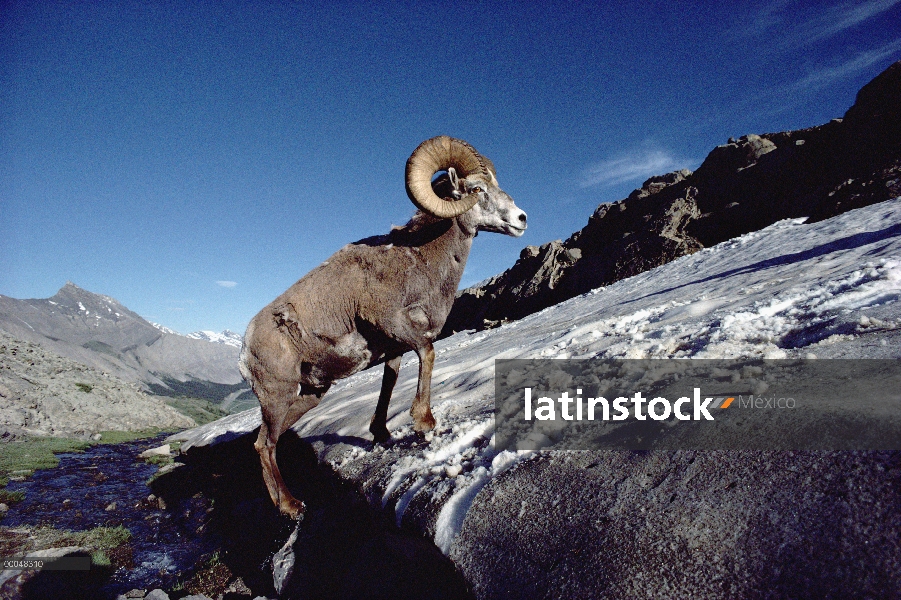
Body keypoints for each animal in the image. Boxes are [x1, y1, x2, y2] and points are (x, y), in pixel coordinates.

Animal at [239, 135, 528, 516]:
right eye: (477, 189)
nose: (521, 219)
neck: (417, 262)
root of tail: (245, 348)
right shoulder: (395, 325)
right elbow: (429, 353)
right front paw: (424, 423)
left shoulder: (394, 348)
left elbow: (389, 382)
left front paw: (382, 434)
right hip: (277, 397)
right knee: (265, 444)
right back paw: (291, 505)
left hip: (309, 396)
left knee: (266, 442)